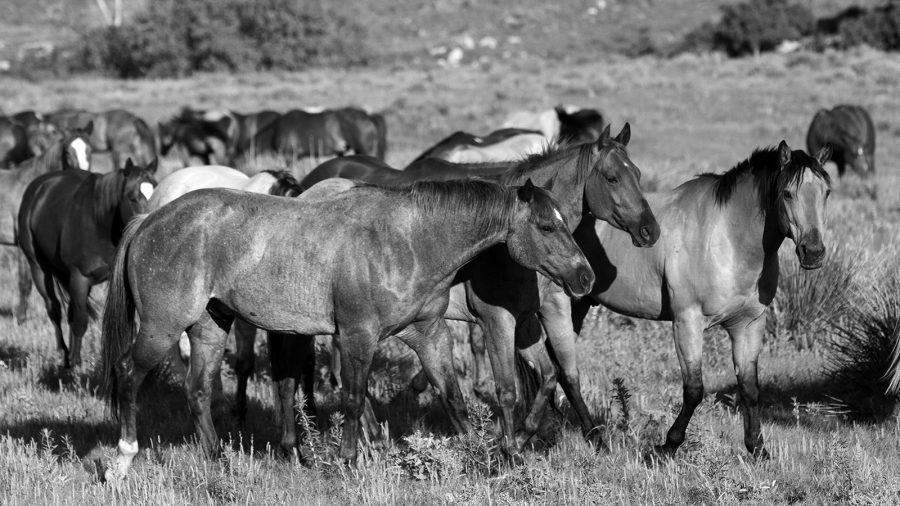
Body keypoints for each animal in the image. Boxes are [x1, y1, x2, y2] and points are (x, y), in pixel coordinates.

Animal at [0, 124, 95, 323]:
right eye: (67, 151)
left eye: (90, 150)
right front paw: (21, 318)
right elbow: (24, 283)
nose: (84, 174)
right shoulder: (23, 246)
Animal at [18, 158, 158, 368]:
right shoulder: (79, 277)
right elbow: (81, 321)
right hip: (39, 269)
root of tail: (37, 189)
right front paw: (76, 362)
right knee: (54, 308)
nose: (147, 222)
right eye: (132, 197)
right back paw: (65, 354)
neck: (100, 223)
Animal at [101, 177, 595, 478]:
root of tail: (149, 220)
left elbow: (452, 396)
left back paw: (219, 460)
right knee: (128, 374)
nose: (585, 278)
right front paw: (349, 461)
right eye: (547, 226)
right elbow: (354, 400)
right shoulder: (357, 336)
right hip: (163, 326)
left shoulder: (428, 334)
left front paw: (485, 458)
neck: (407, 241)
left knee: (199, 390)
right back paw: (122, 461)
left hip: (209, 326)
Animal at [260, 124, 660, 459]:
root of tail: (310, 188)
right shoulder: (497, 319)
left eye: (639, 175)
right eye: (612, 177)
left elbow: (558, 375)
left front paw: (555, 434)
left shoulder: (539, 314)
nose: (650, 230)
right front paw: (512, 445)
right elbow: (509, 387)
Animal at [548, 141, 831, 460]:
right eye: (787, 193)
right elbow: (694, 389)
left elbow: (750, 388)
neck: (726, 238)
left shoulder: (749, 325)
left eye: (826, 192)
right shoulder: (688, 322)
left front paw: (758, 448)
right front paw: (667, 445)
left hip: (579, 305)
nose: (813, 252)